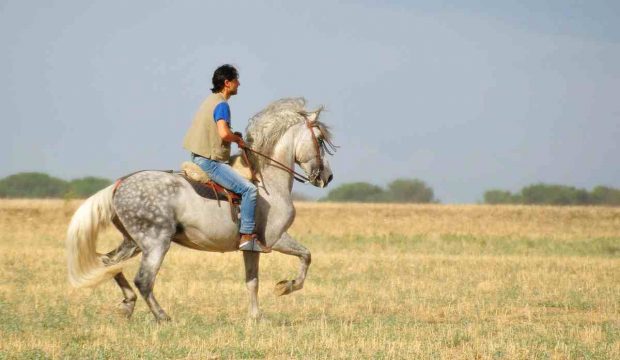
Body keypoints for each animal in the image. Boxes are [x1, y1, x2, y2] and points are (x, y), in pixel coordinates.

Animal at [66, 97, 334, 320]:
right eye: (320, 140)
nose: (327, 177)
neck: (267, 182)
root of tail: (119, 185)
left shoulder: (251, 248)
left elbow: (252, 281)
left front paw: (256, 317)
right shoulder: (275, 238)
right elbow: (306, 255)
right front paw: (285, 287)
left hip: (132, 242)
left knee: (109, 263)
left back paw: (127, 304)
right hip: (156, 243)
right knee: (143, 280)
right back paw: (162, 317)